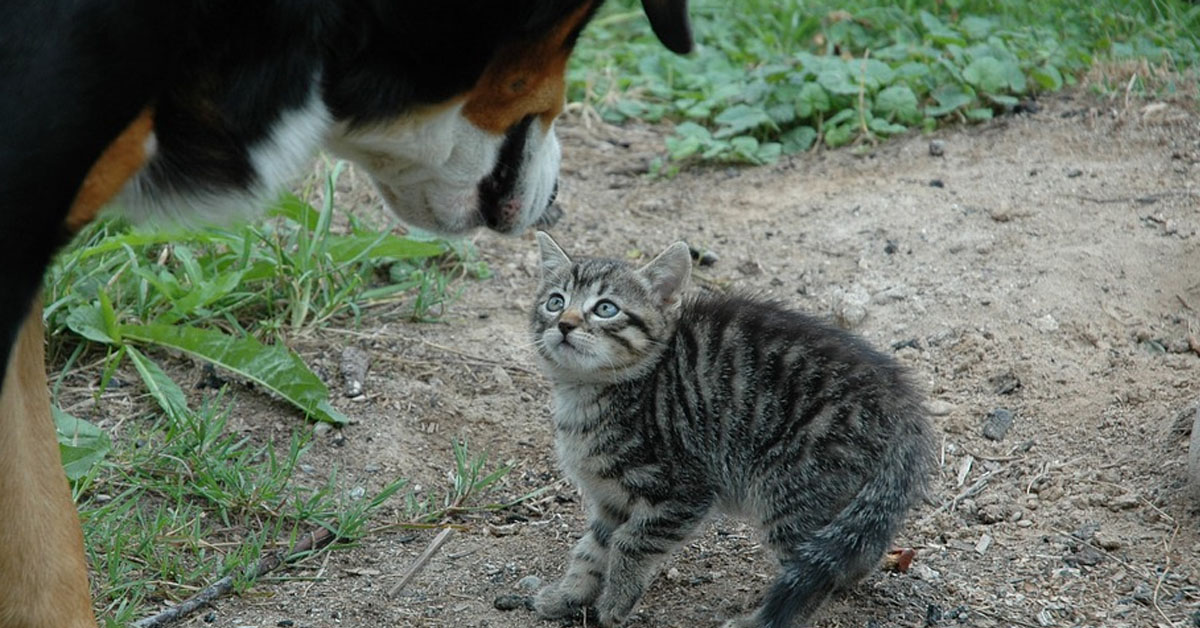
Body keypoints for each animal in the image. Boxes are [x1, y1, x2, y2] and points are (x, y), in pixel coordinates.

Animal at [530, 231, 931, 628]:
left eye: (605, 309)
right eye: (555, 302)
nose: (564, 323)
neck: (585, 394)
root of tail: (903, 404)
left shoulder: (685, 489)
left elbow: (632, 542)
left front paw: (616, 599)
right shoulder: (611, 499)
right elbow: (591, 549)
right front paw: (568, 594)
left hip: (791, 490)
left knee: (814, 575)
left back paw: (759, 621)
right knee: (852, 552)